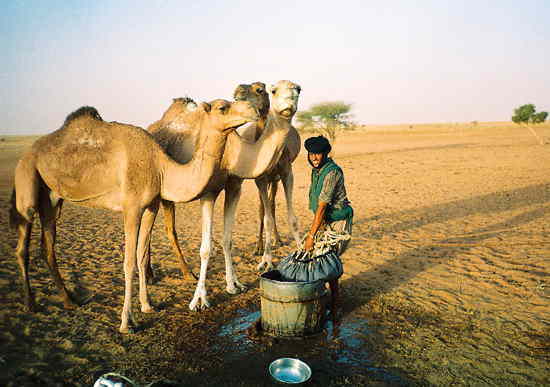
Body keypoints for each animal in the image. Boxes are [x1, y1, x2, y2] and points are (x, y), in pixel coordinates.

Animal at [8, 100, 258, 334]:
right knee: (22, 243)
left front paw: (147, 305)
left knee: (47, 246)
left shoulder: (151, 206)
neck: (161, 167)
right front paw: (126, 322)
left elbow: (141, 254)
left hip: (52, 199)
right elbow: (128, 262)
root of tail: (27, 153)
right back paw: (30, 303)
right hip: (27, 180)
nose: (253, 109)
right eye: (222, 107)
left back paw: (69, 300)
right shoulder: (131, 208)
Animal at [143, 80, 298, 310]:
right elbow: (205, 248)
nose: (289, 102)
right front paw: (200, 299)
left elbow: (228, 239)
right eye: (271, 90)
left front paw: (234, 284)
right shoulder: (209, 192)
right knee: (164, 230)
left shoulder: (234, 186)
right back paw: (174, 274)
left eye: (298, 89)